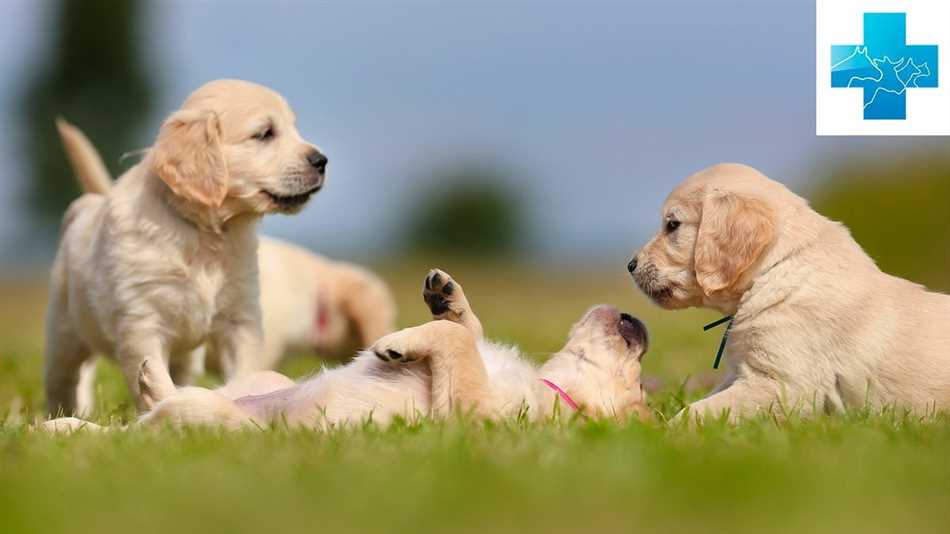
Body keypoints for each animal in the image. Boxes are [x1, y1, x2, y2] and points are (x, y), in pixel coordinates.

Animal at [44, 270, 656, 434]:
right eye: (638, 372)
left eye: (636, 390)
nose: (640, 323)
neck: (553, 390)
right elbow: (468, 329)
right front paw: (446, 296)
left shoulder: (471, 416)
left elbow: (458, 341)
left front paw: (395, 345)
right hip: (262, 377)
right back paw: (144, 379)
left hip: (213, 421)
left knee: (143, 426)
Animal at [46, 79, 330, 416]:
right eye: (265, 133)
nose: (322, 161)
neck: (206, 235)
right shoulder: (142, 324)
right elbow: (151, 372)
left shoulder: (241, 319)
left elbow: (244, 370)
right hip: (64, 336)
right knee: (62, 381)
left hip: (186, 358)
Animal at [632, 163, 950, 422]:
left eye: (673, 225)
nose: (630, 265)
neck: (775, 269)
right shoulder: (742, 372)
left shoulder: (782, 384)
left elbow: (700, 410)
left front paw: (668, 433)